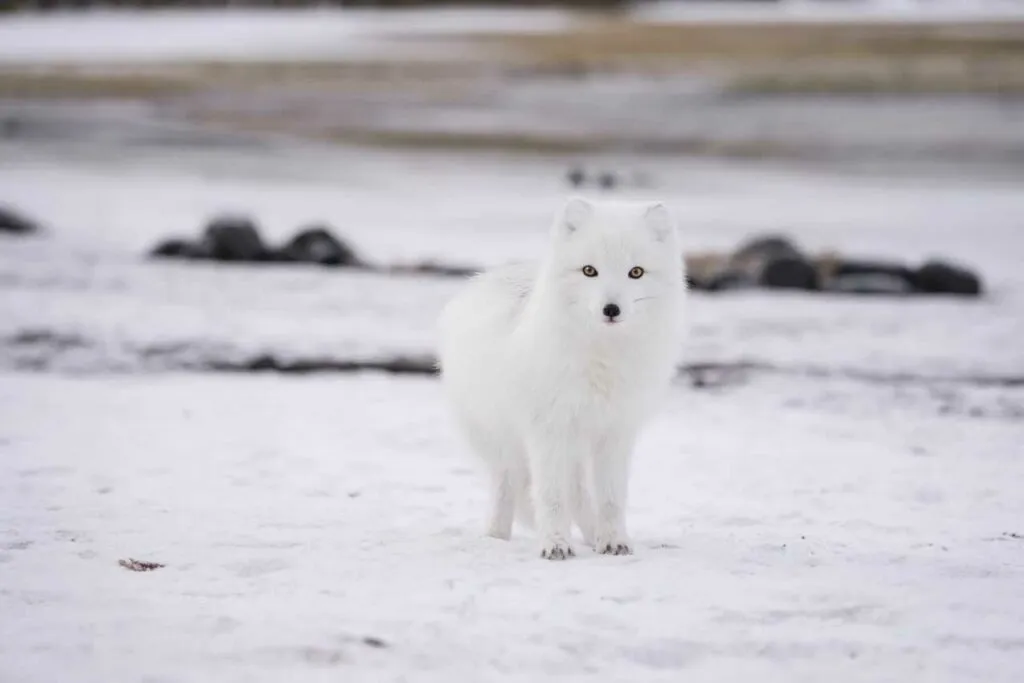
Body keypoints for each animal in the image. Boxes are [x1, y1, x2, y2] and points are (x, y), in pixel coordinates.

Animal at [436, 197, 684, 561]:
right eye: (589, 270)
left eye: (635, 272)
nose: (611, 309)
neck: (601, 359)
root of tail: (486, 277)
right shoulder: (548, 431)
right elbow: (552, 497)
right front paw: (554, 544)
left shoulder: (616, 432)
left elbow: (611, 499)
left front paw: (614, 541)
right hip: (504, 443)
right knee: (508, 486)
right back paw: (496, 537)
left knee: (579, 494)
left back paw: (593, 536)